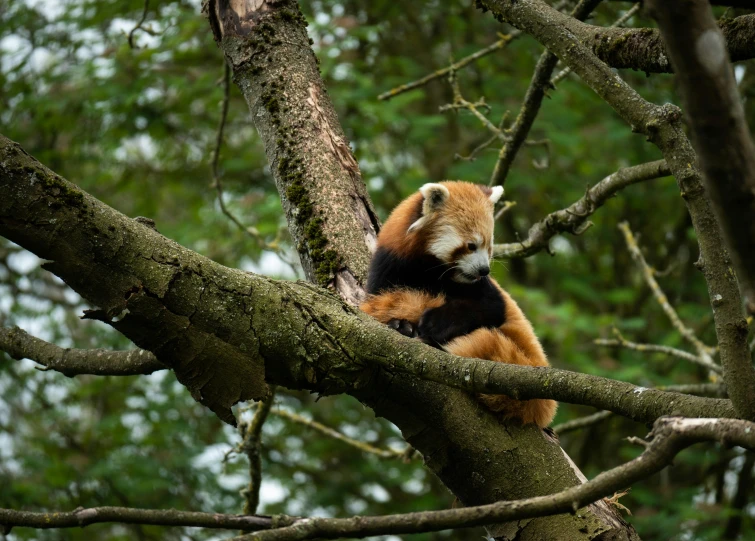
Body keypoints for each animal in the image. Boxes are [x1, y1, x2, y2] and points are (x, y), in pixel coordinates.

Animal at [364, 181, 560, 426]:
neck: (426, 269)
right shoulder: (388, 267)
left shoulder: (487, 293)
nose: (484, 270)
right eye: (471, 246)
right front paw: (401, 325)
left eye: (489, 246)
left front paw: (435, 324)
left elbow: (490, 307)